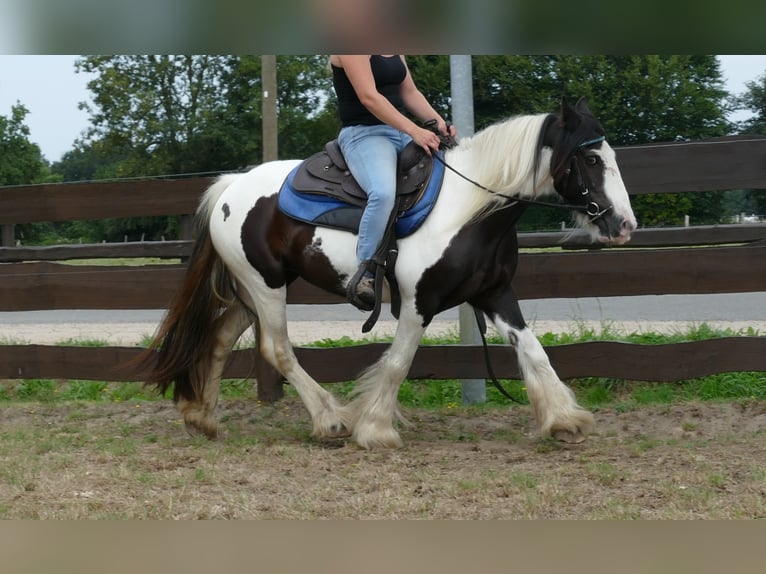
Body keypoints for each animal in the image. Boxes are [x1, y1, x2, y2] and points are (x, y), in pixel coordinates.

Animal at [141, 98, 640, 450]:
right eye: (591, 160)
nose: (625, 225)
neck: (468, 209)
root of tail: (231, 186)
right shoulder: (420, 302)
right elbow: (399, 362)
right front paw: (375, 428)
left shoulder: (495, 294)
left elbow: (534, 351)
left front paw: (563, 420)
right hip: (266, 287)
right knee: (277, 349)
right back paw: (331, 420)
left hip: (253, 289)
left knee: (220, 338)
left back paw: (202, 417)